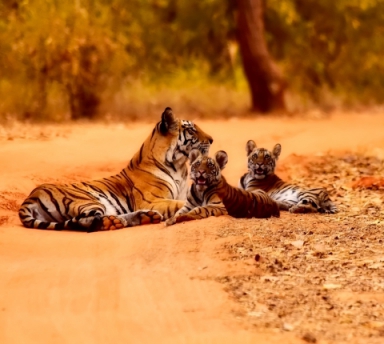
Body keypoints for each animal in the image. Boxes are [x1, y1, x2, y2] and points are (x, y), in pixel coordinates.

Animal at [18, 107, 213, 231]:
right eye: (192, 130)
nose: (211, 140)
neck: (179, 166)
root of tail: (31, 197)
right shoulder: (151, 200)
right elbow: (180, 204)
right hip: (88, 200)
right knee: (86, 221)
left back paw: (145, 217)